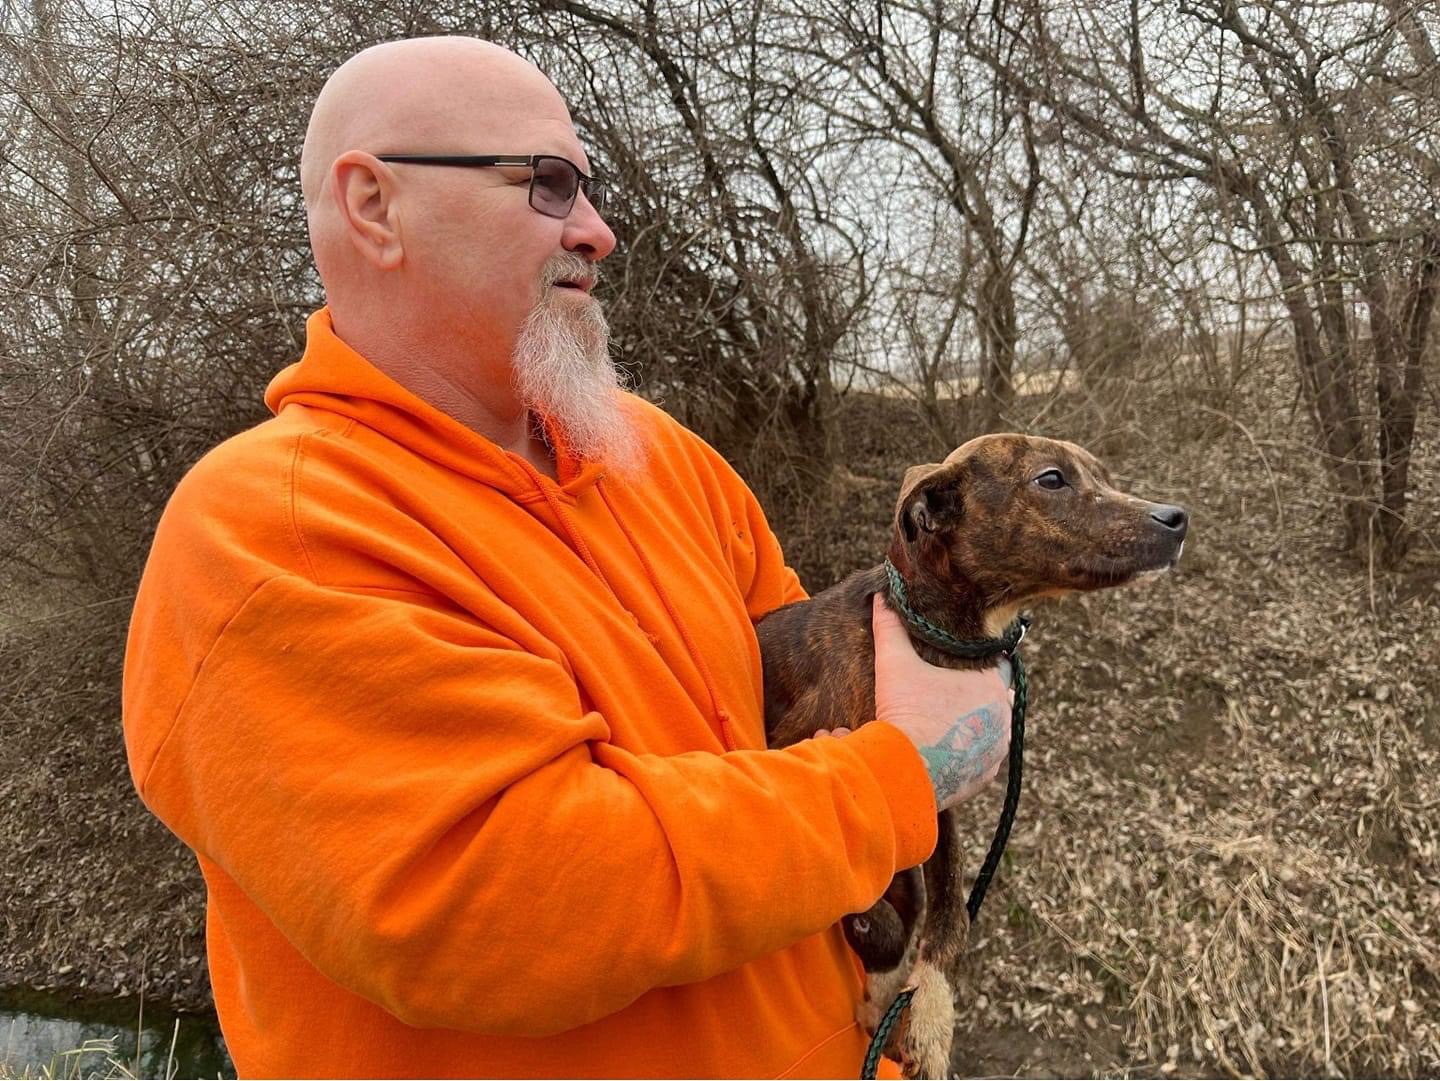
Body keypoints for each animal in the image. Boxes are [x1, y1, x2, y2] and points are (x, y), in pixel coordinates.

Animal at [760, 434, 1186, 1076]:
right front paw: (898, 992)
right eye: (1051, 479)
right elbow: (882, 911)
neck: (934, 631)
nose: (1177, 517)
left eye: (1103, 474)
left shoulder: (935, 792)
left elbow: (948, 914)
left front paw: (925, 1013)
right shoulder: (804, 751)